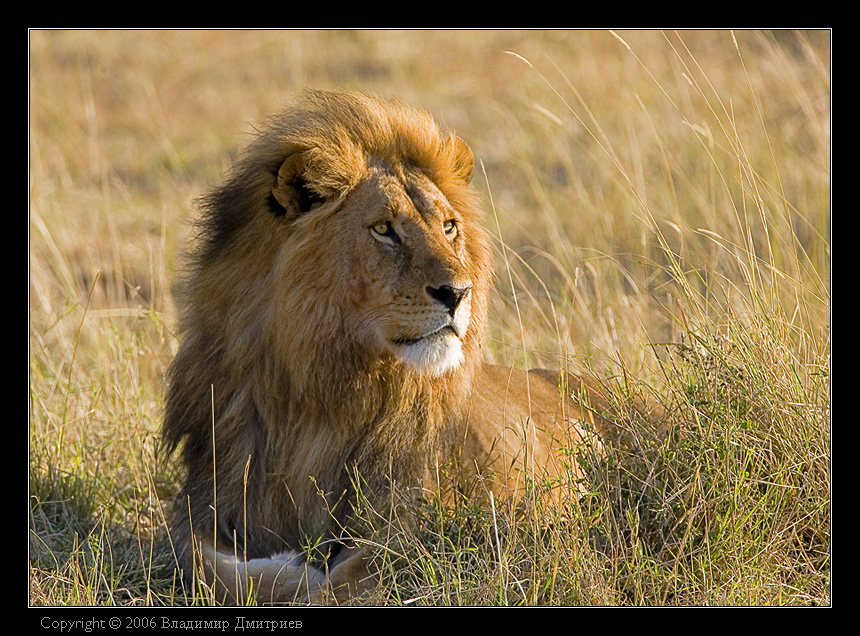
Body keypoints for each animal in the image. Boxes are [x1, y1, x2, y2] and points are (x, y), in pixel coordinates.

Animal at [163, 89, 615, 604]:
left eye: (449, 226)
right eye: (384, 229)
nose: (458, 293)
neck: (319, 390)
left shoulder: (420, 517)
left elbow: (357, 572)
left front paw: (308, 575)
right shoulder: (208, 496)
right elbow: (202, 560)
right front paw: (287, 569)